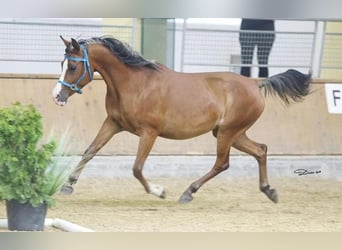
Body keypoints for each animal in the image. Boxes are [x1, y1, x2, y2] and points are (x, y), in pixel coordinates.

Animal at [52, 35, 312, 203]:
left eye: (72, 66)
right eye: (62, 63)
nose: (57, 96)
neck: (135, 84)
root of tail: (255, 83)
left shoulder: (149, 132)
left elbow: (136, 168)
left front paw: (159, 191)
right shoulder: (113, 123)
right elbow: (90, 151)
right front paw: (67, 185)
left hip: (228, 132)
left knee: (223, 163)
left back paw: (188, 192)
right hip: (233, 133)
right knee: (261, 150)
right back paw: (269, 191)